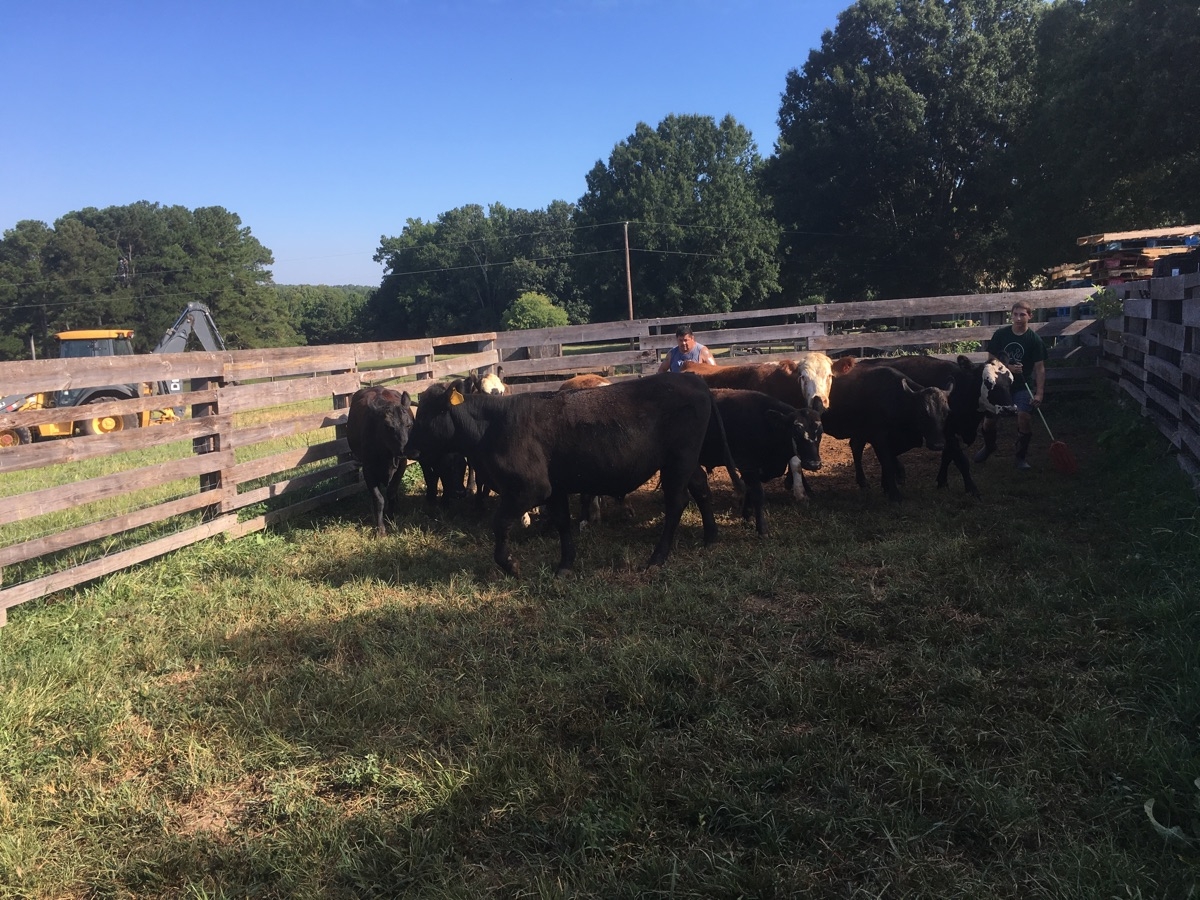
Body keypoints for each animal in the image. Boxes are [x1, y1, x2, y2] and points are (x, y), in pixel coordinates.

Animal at [345, 386, 415, 535]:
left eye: (409, 425)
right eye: (387, 426)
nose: (406, 450)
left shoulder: (401, 465)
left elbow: (391, 492)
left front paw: (391, 517)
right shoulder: (368, 469)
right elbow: (378, 499)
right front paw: (380, 528)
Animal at [700, 388, 825, 535]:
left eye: (820, 432)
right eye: (795, 433)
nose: (814, 464)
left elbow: (750, 489)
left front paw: (747, 516)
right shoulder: (747, 465)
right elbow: (758, 494)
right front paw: (762, 529)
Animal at [820, 367, 950, 508]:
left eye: (946, 412)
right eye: (922, 413)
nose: (938, 445)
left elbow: (889, 458)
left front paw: (888, 485)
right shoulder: (878, 437)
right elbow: (887, 462)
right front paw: (895, 494)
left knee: (856, 447)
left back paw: (863, 482)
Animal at [854, 355, 1012, 496]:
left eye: (1011, 381)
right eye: (988, 383)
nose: (1010, 409)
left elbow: (947, 456)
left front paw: (942, 481)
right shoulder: (948, 432)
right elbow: (961, 460)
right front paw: (972, 489)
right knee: (859, 448)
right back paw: (866, 481)